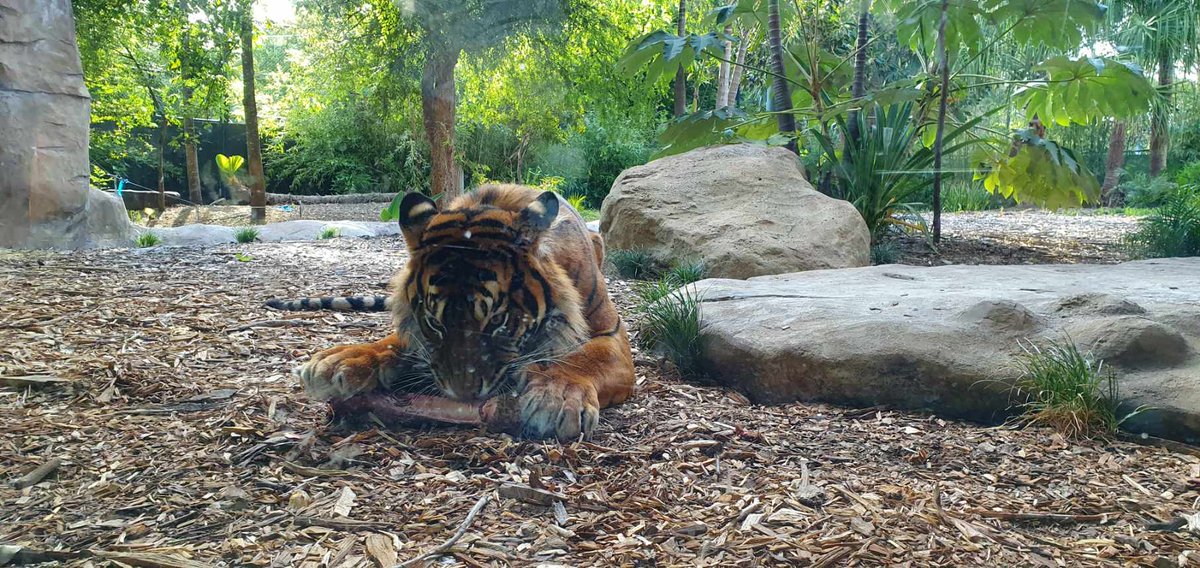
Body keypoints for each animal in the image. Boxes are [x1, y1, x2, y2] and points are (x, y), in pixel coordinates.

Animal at [285, 184, 635, 440]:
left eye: (498, 320)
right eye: (433, 322)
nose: (463, 393)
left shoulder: (612, 332)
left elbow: (583, 359)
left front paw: (556, 397)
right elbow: (396, 342)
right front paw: (340, 361)